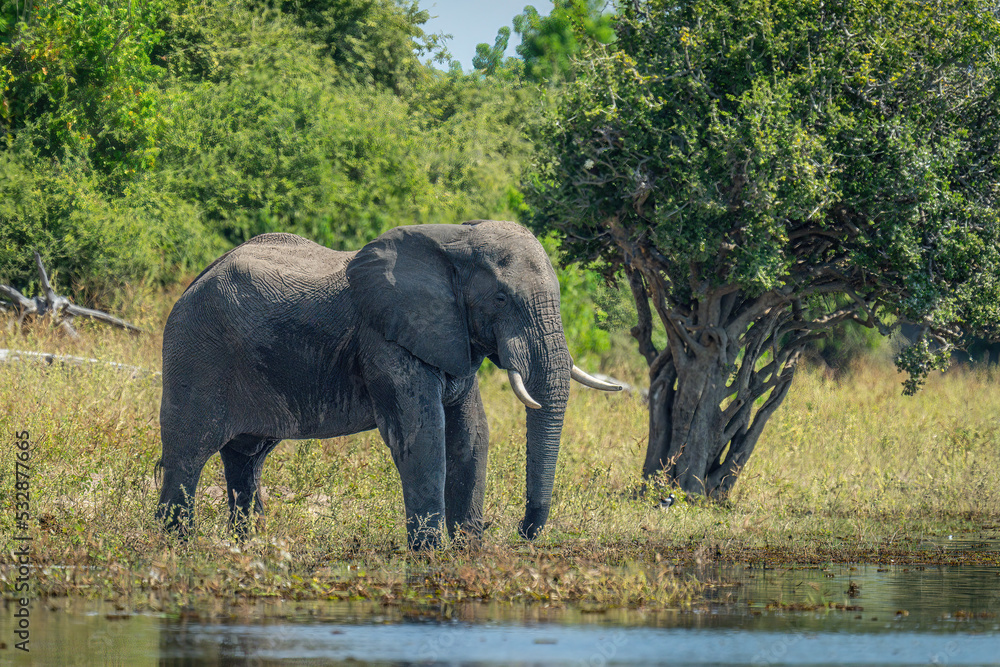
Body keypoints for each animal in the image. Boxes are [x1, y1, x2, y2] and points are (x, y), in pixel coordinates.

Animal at [156, 220, 620, 549]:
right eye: (502, 299)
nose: (520, 533)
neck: (455, 240)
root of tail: (194, 281)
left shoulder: (450, 336)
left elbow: (471, 436)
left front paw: (468, 553)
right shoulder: (385, 341)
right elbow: (424, 436)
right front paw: (430, 556)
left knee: (246, 460)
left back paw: (246, 545)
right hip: (196, 353)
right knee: (187, 456)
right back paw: (176, 546)